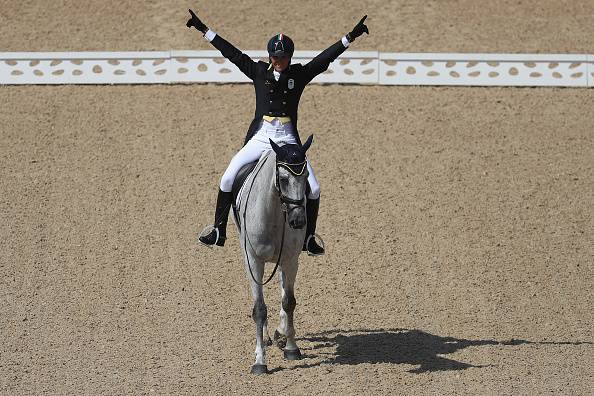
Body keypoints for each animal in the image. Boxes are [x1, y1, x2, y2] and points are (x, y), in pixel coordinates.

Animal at [232, 135, 314, 372]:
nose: (298, 221)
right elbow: (259, 309)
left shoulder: (290, 260)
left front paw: (292, 348)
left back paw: (281, 333)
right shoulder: (253, 262)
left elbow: (289, 301)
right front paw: (260, 361)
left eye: (306, 177)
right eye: (284, 179)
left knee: (282, 289)